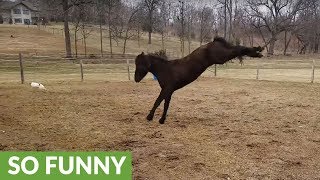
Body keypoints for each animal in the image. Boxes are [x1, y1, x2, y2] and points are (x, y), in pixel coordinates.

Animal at [134, 36, 262, 124]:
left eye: (139, 64)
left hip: (221, 58)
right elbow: (166, 104)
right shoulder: (169, 91)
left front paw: (149, 117)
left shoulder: (166, 89)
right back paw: (258, 51)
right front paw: (161, 120)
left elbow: (157, 101)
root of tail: (213, 42)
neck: (165, 70)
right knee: (236, 48)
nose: (136, 79)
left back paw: (258, 50)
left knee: (237, 50)